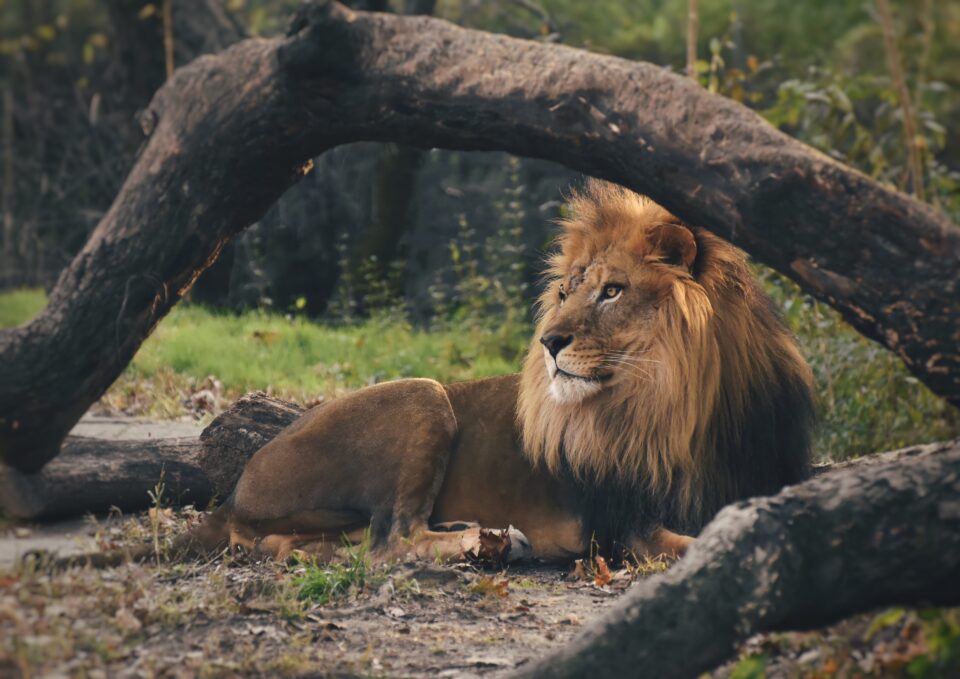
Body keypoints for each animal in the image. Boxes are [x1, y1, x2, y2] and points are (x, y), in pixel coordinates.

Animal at [142, 181, 812, 568]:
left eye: (611, 291)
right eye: (565, 291)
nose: (548, 342)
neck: (684, 405)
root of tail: (235, 489)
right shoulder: (625, 526)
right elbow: (692, 543)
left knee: (307, 547)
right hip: (423, 395)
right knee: (390, 543)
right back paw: (486, 541)